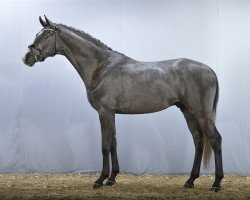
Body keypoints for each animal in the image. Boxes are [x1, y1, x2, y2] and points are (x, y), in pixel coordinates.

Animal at [22, 16, 224, 191]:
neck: (101, 67)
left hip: (202, 114)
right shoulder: (111, 113)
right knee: (198, 140)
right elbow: (113, 143)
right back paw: (190, 181)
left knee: (215, 139)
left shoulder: (104, 112)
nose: (27, 57)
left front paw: (100, 179)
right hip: (188, 111)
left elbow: (104, 145)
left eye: (46, 35)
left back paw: (216, 183)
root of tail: (210, 70)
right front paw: (112, 178)